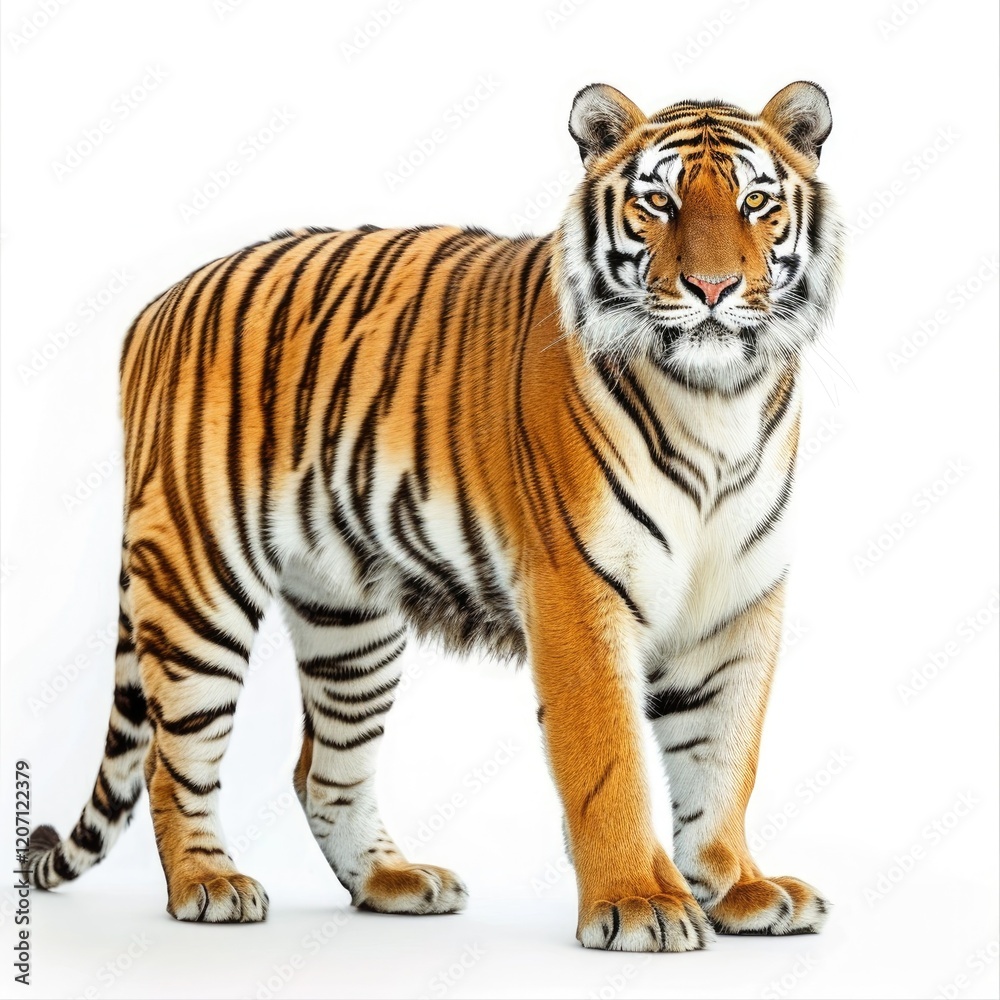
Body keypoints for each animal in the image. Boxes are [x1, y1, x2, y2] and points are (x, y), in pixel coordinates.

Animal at [28, 80, 844, 952]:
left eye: (756, 202)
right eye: (658, 202)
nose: (714, 289)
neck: (718, 398)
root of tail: (156, 305)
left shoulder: (738, 602)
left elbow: (725, 759)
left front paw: (741, 889)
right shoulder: (577, 593)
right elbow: (611, 764)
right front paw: (637, 903)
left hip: (349, 618)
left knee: (323, 769)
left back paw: (392, 882)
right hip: (197, 583)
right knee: (170, 759)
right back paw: (209, 884)